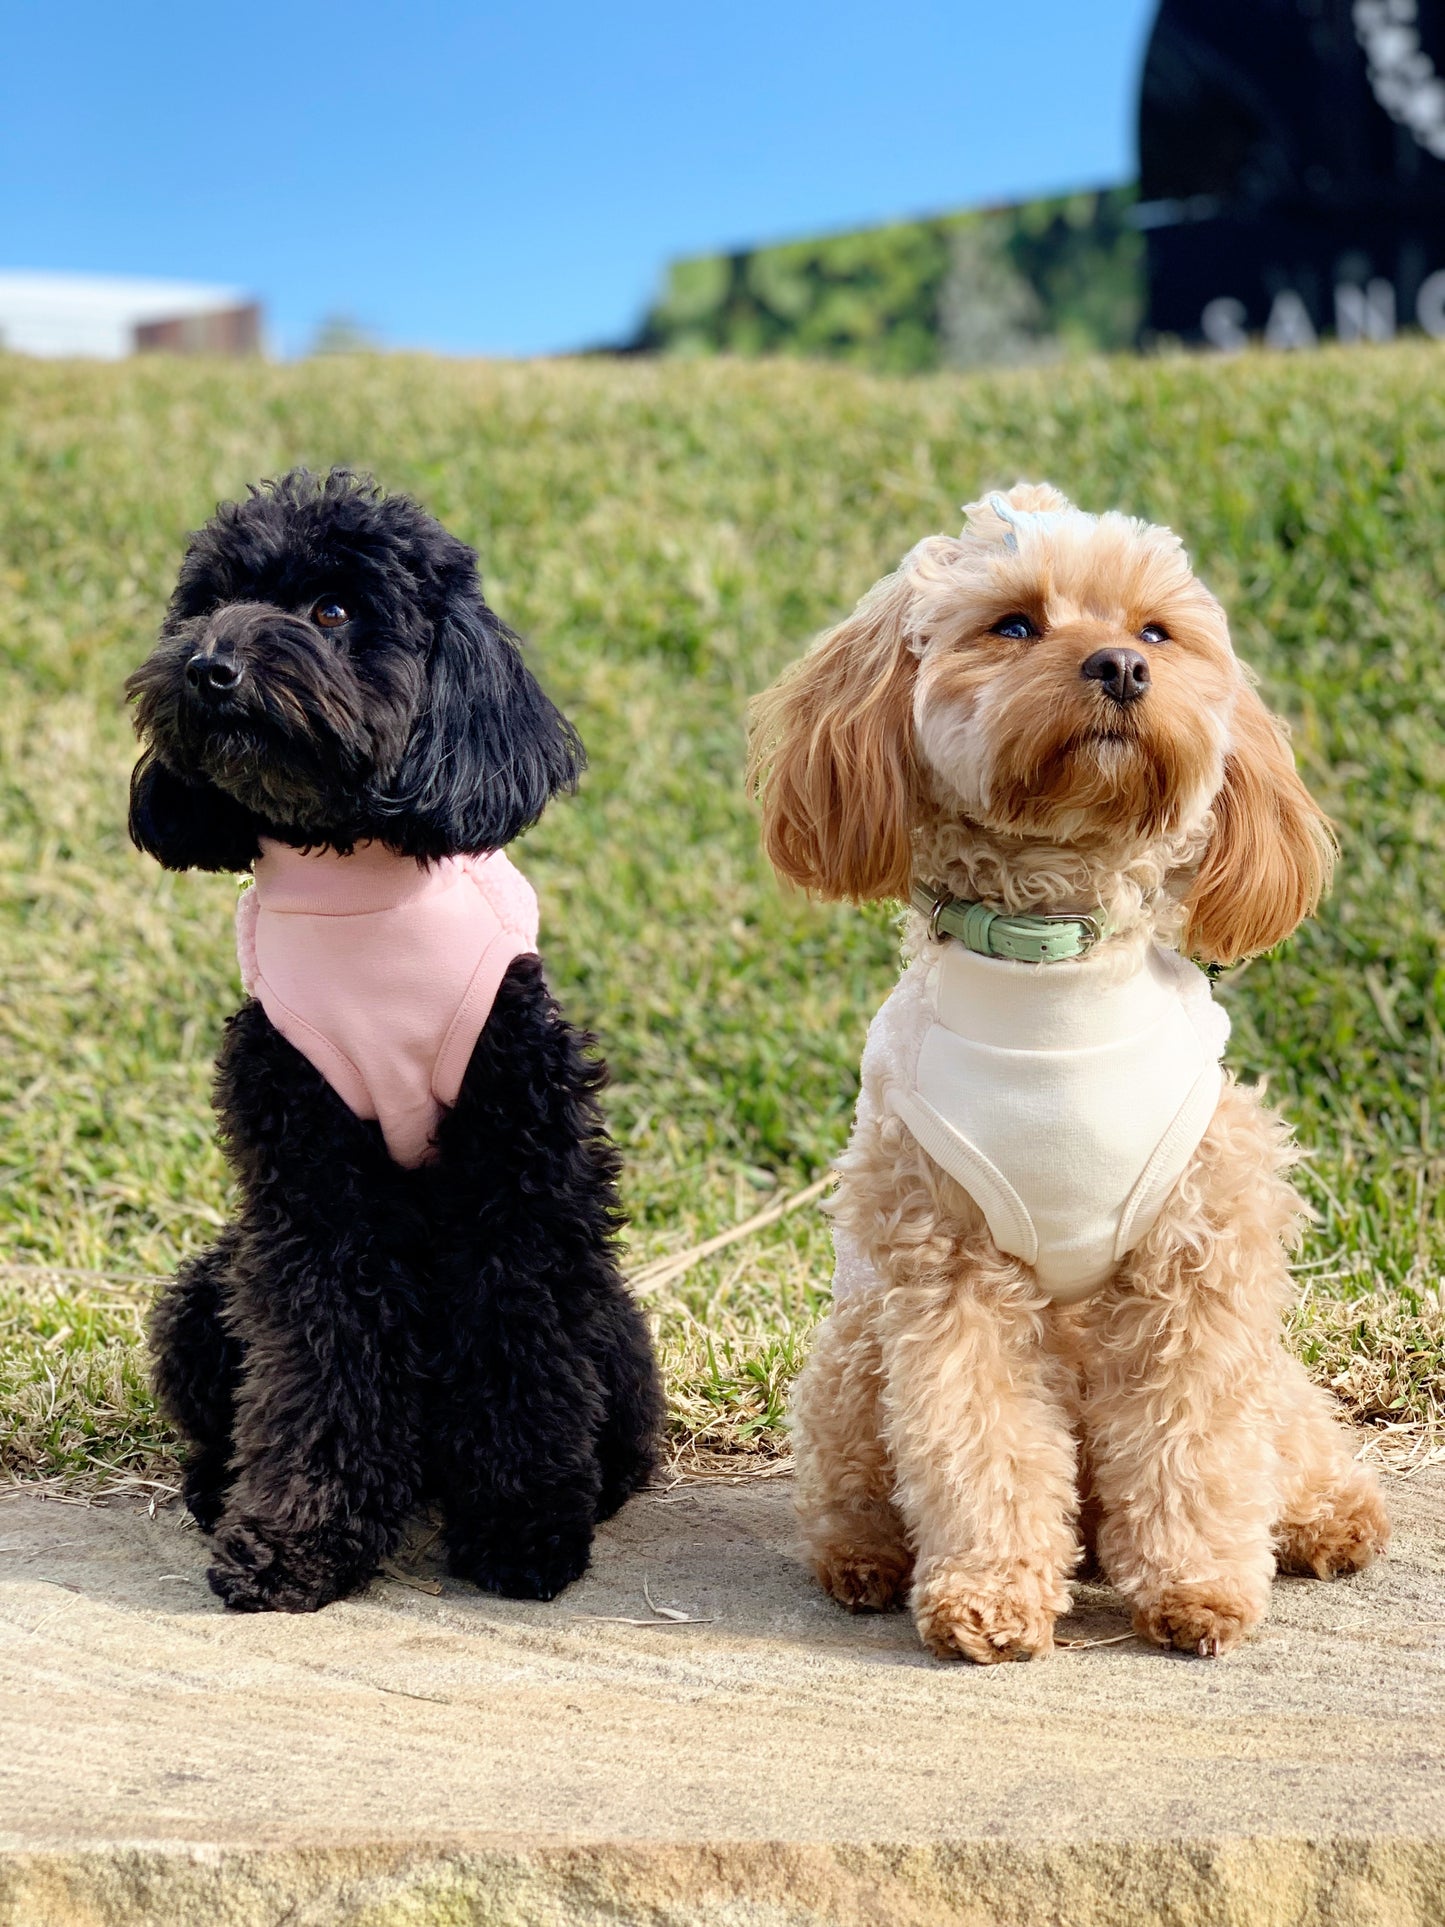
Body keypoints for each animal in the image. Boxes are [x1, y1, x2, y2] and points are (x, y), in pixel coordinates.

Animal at [127, 466, 666, 1610]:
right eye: (206, 602)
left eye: (334, 611)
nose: (208, 668)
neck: (357, 877)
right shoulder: (308, 1181)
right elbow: (319, 1350)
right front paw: (294, 1538)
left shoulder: (519, 1168)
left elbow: (516, 1337)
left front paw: (523, 1526)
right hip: (204, 1295)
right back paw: (214, 1487)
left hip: (613, 1322)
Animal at [751, 477, 1387, 1657]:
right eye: (1011, 625)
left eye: (1156, 631)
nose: (1122, 668)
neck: (1050, 957)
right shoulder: (946, 1268)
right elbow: (979, 1435)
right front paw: (989, 1591)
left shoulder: (1199, 1252)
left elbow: (1195, 1437)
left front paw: (1198, 1588)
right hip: (853, 1355)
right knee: (861, 1474)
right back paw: (864, 1559)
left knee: (1278, 1429)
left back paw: (1328, 1516)